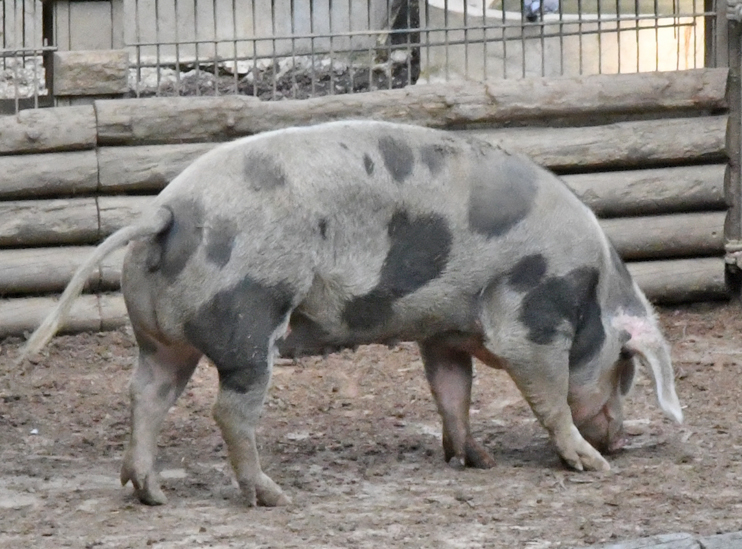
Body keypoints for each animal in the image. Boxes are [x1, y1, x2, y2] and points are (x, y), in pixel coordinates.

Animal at [18, 119, 684, 506]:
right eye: (625, 368)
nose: (621, 440)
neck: (589, 290)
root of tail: (167, 212)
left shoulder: (442, 331)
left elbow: (452, 392)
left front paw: (477, 459)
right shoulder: (532, 319)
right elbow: (547, 396)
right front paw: (591, 465)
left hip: (160, 338)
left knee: (147, 394)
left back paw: (150, 493)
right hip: (249, 320)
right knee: (228, 409)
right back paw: (275, 496)